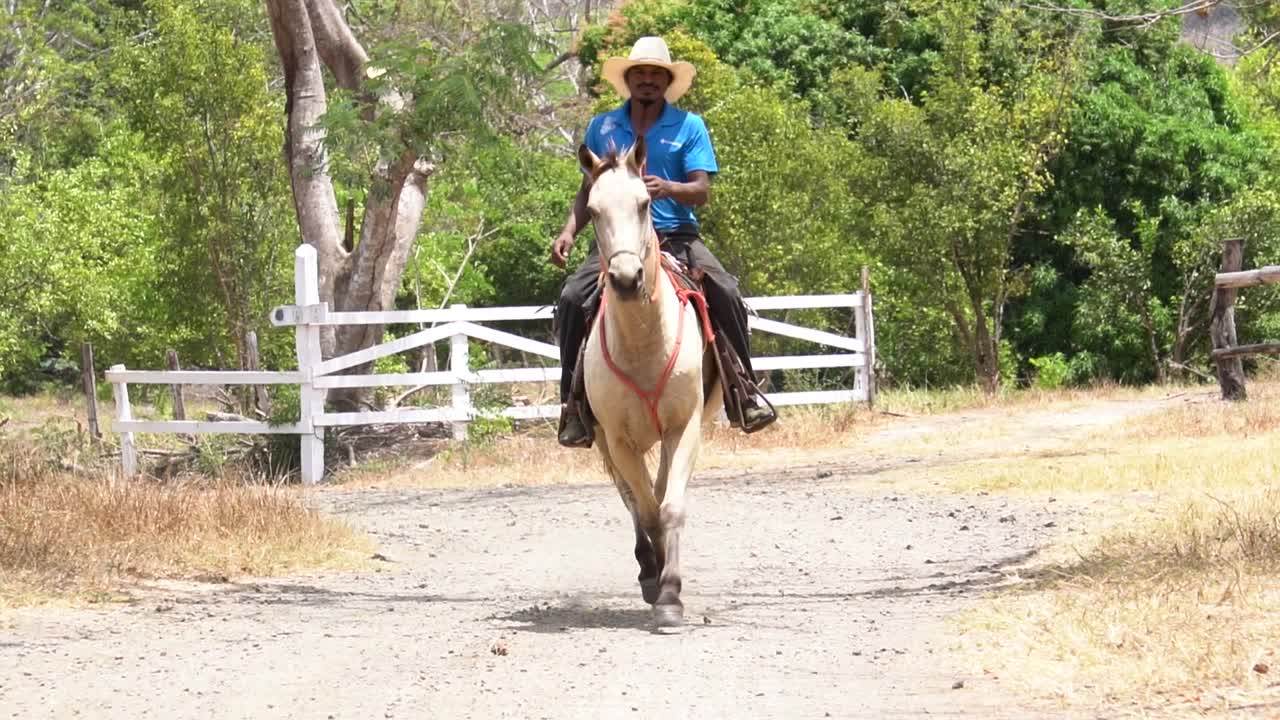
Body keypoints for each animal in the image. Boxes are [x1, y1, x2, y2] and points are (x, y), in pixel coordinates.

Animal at [577, 137, 722, 630]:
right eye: (593, 209)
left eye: (644, 204)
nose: (625, 279)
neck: (644, 341)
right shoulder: (618, 440)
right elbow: (643, 509)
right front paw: (657, 581)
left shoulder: (685, 427)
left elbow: (670, 506)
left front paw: (671, 595)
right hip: (608, 442)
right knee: (632, 499)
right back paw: (647, 569)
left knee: (658, 492)